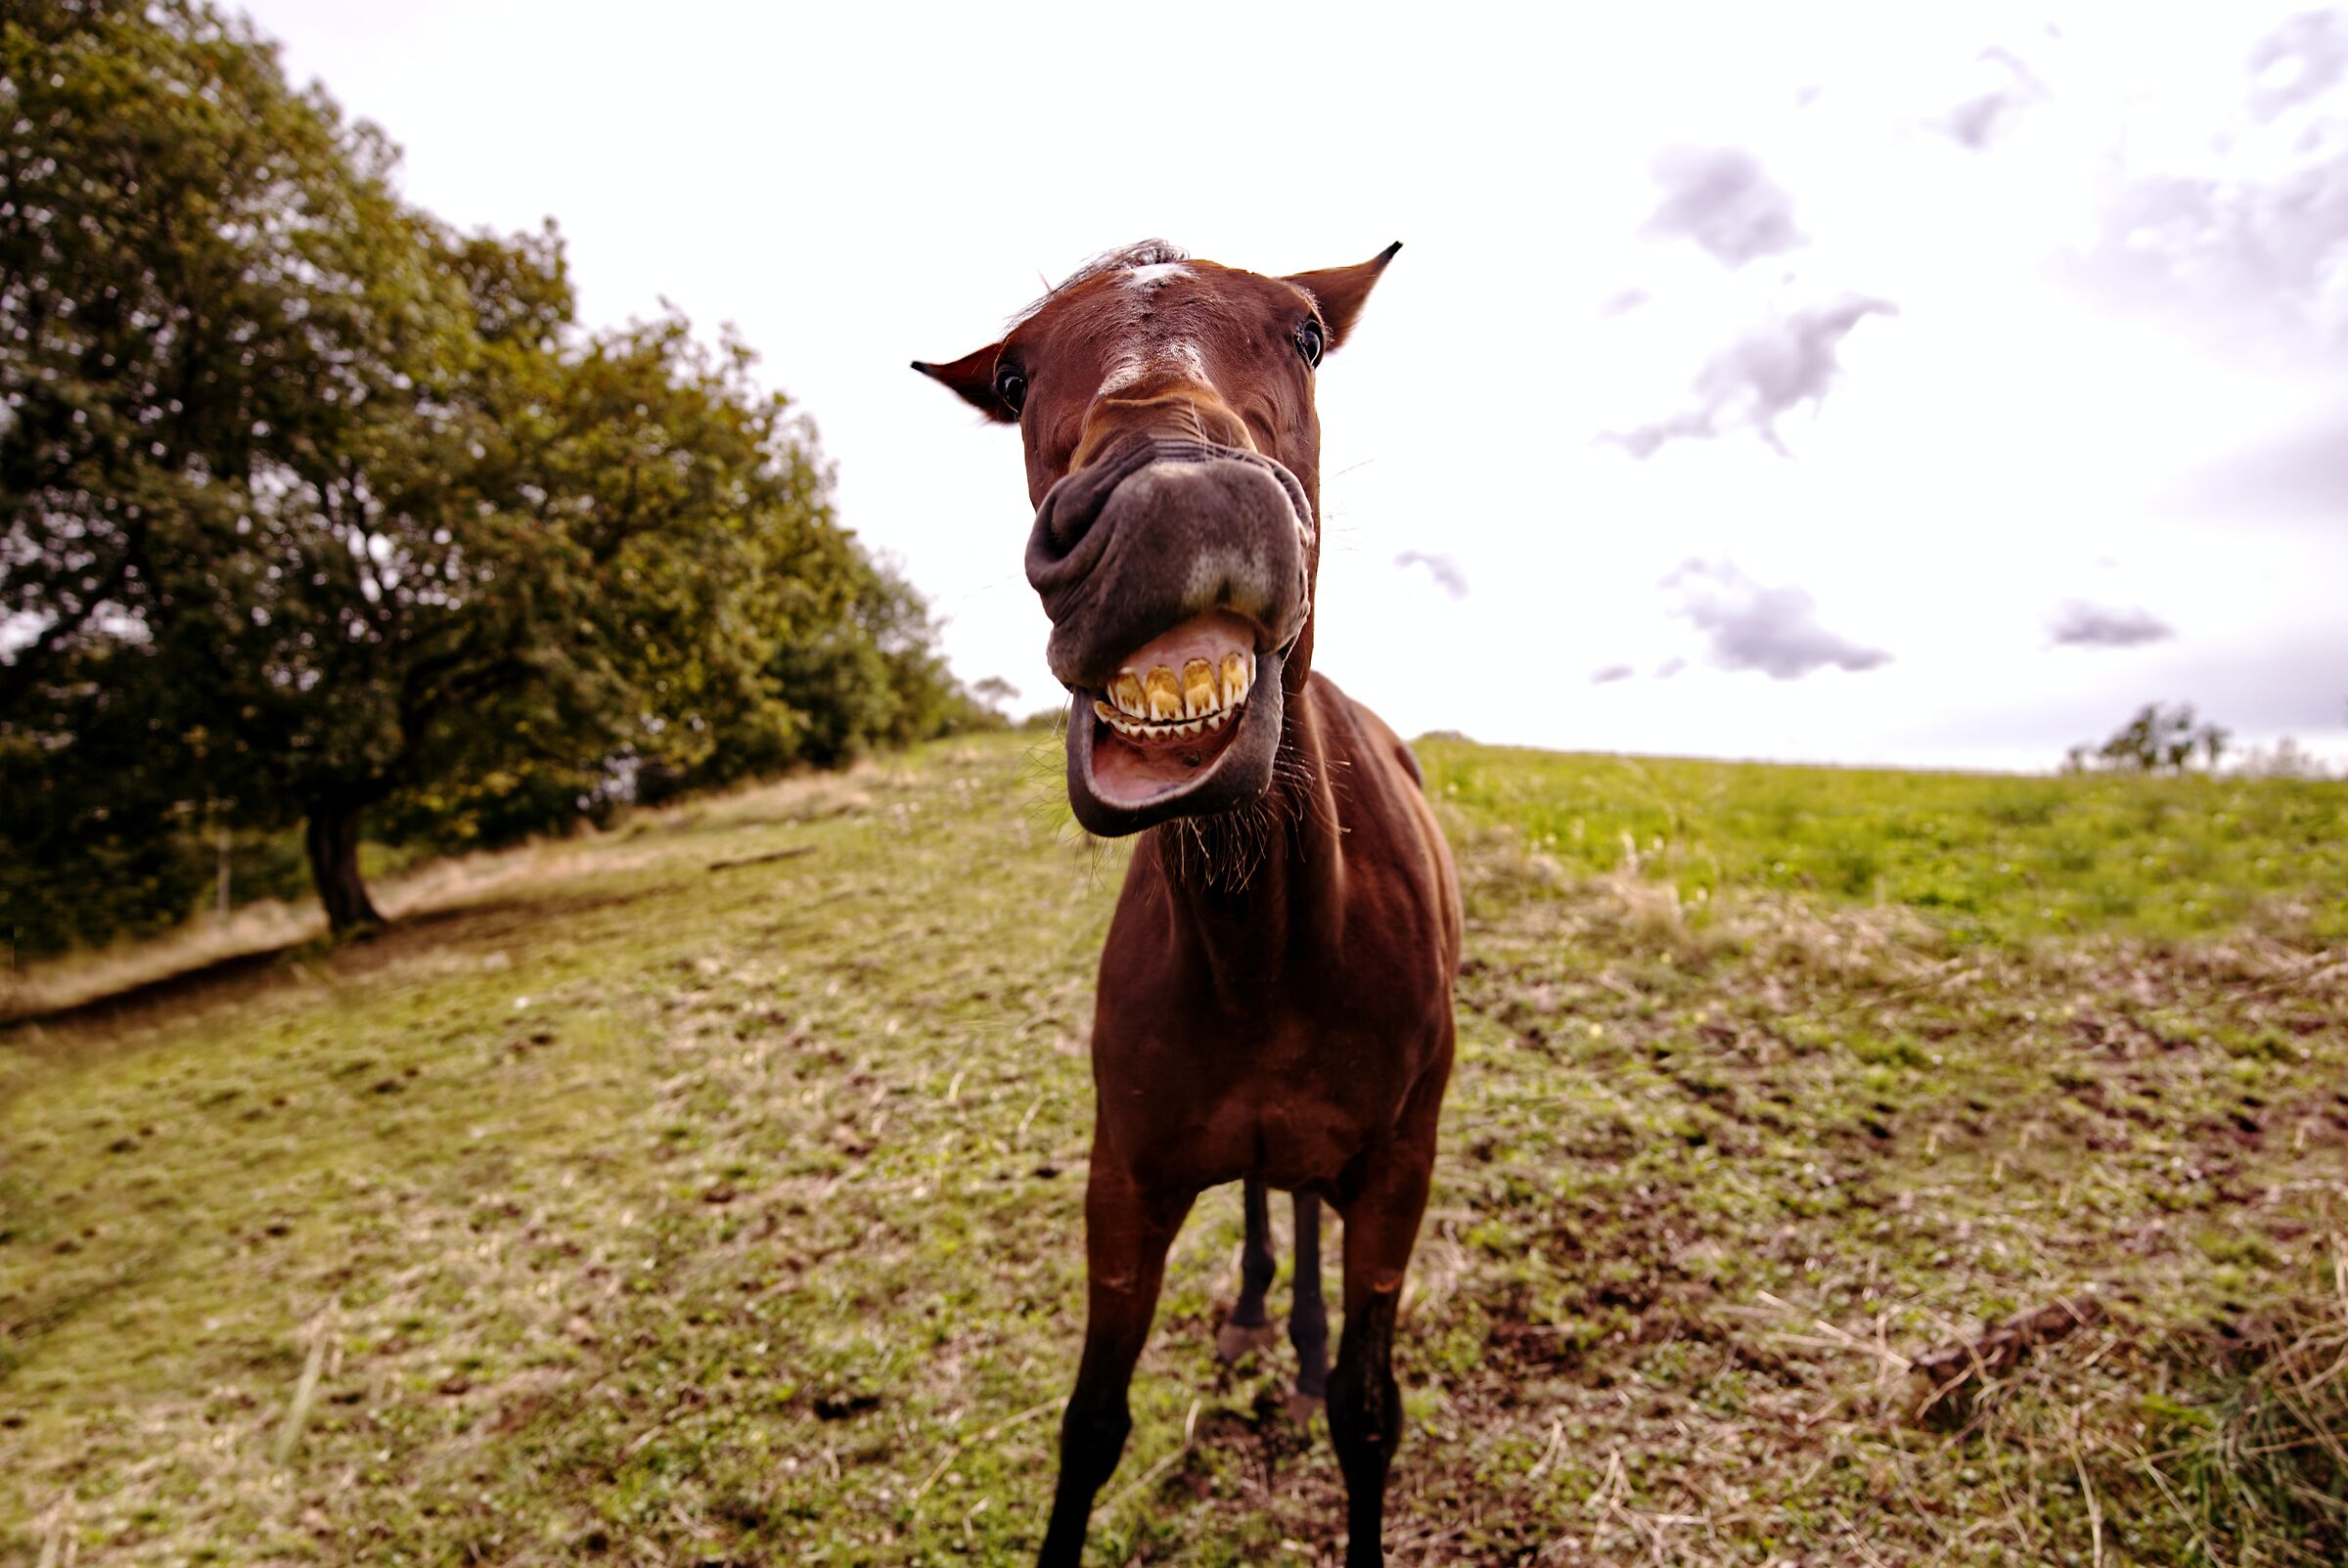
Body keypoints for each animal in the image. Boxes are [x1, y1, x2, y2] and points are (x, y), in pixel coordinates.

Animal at [914, 240, 1460, 1568]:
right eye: (1012, 376)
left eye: (1308, 332)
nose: (1172, 504)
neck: (1261, 952)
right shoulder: (1127, 1179)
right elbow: (1090, 1424)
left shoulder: (1397, 1172)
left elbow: (1371, 1413)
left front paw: (1330, 1376)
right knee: (1272, 1197)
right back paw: (1264, 1310)